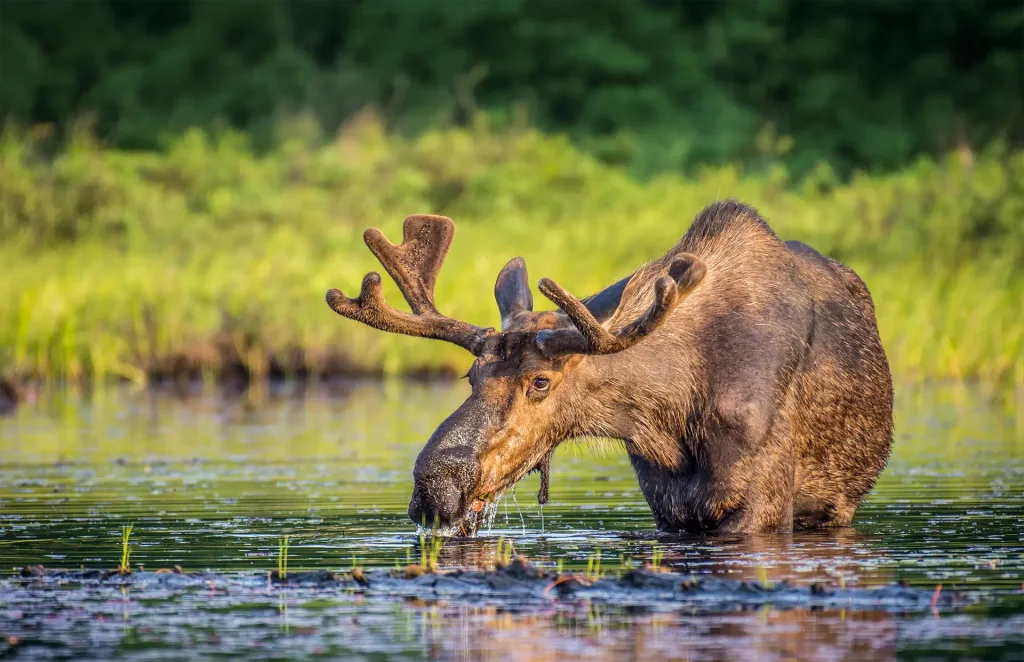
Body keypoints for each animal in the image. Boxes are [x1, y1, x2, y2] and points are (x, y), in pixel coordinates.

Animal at [325, 200, 894, 536]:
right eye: (472, 376)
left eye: (541, 381)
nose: (434, 485)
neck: (672, 414)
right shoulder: (667, 506)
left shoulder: (761, 506)